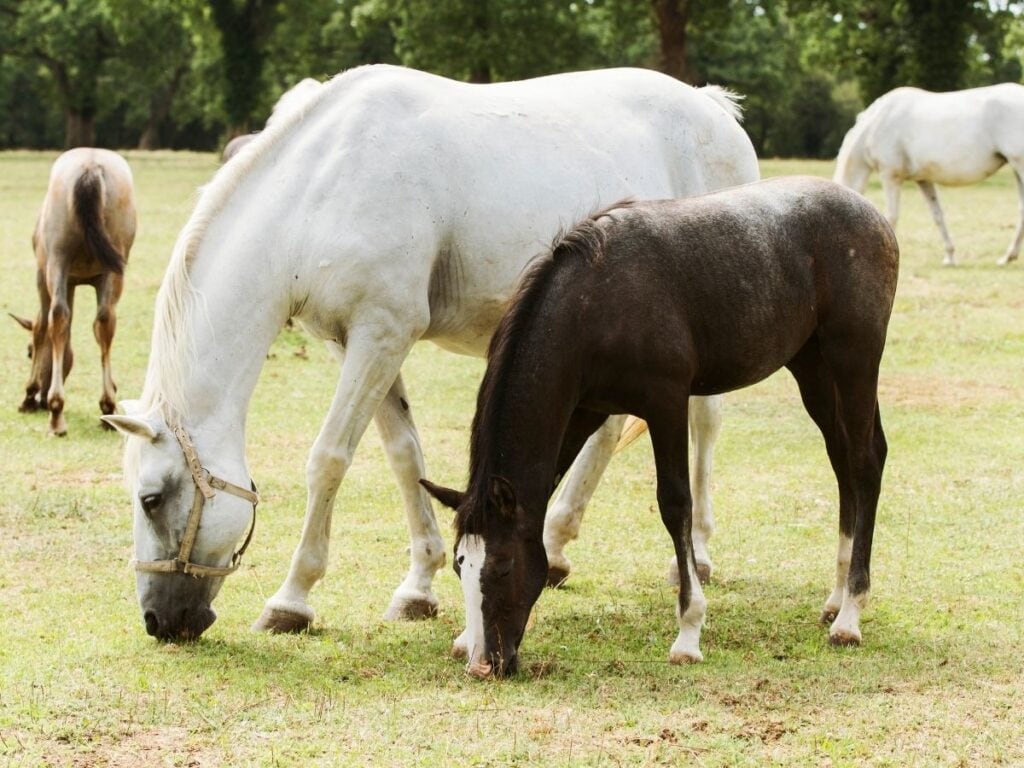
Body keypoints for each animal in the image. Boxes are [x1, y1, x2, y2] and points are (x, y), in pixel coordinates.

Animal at [13, 148, 135, 436]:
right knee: (105, 320)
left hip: (56, 260)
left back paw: (56, 413)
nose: (41, 401)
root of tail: (90, 166)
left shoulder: (42, 274)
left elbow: (42, 328)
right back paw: (107, 406)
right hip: (113, 266)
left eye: (29, 352)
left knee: (57, 316)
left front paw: (29, 395)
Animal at [101, 64, 758, 642]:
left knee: (705, 422)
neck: (324, 184)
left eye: (151, 498)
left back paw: (695, 557)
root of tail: (712, 107)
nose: (158, 621)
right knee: (611, 429)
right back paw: (555, 546)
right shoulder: (359, 342)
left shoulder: (383, 333)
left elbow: (329, 459)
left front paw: (291, 600)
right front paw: (418, 587)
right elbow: (402, 456)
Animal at [421, 176, 899, 677]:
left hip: (854, 359)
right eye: (459, 566)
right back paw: (837, 597)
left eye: (503, 566)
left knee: (864, 462)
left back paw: (850, 615)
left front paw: (689, 631)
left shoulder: (666, 403)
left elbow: (675, 505)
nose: (485, 664)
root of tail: (870, 214)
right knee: (843, 461)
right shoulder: (585, 410)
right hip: (813, 367)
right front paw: (464, 636)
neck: (597, 300)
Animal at [833, 83, 1024, 266]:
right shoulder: (923, 179)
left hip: (1019, 164)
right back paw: (1008, 257)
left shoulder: (890, 175)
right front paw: (950, 256)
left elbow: (891, 216)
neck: (876, 124)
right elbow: (937, 215)